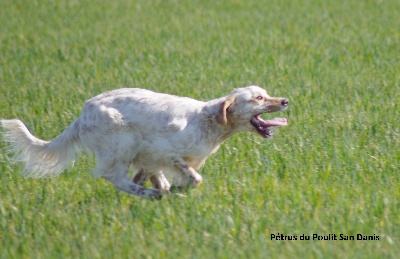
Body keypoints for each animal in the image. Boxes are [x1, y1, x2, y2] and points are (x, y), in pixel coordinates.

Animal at [0, 86, 288, 200]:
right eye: (259, 98)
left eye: (265, 93)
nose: (285, 101)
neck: (207, 119)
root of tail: (82, 115)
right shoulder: (163, 151)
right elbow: (194, 178)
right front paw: (175, 190)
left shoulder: (151, 160)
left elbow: (155, 176)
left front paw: (168, 189)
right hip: (122, 142)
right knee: (113, 177)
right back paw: (152, 195)